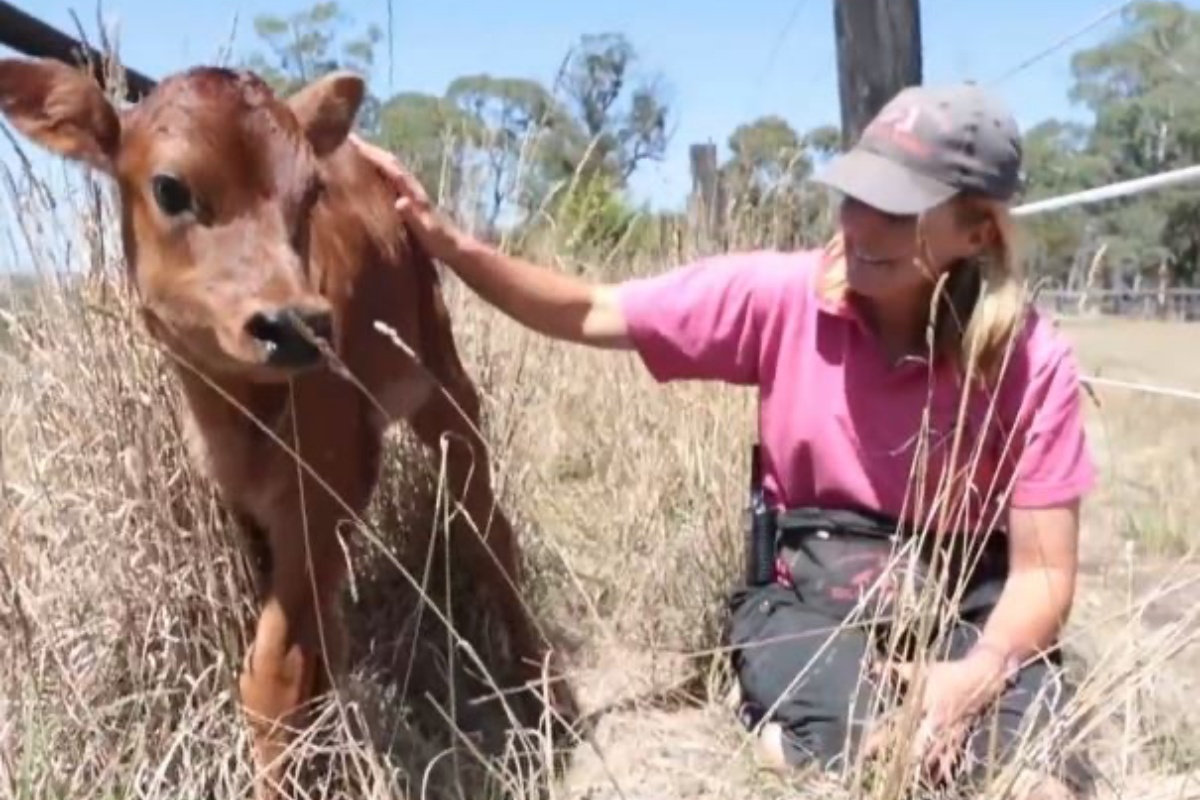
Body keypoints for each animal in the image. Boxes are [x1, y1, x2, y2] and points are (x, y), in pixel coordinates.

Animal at [0, 57, 576, 800]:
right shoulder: (250, 503)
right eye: (169, 187)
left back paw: (545, 693)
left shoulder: (322, 488)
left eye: (311, 194)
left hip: (443, 384)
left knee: (486, 530)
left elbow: (272, 674)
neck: (237, 410)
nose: (298, 324)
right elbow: (305, 642)